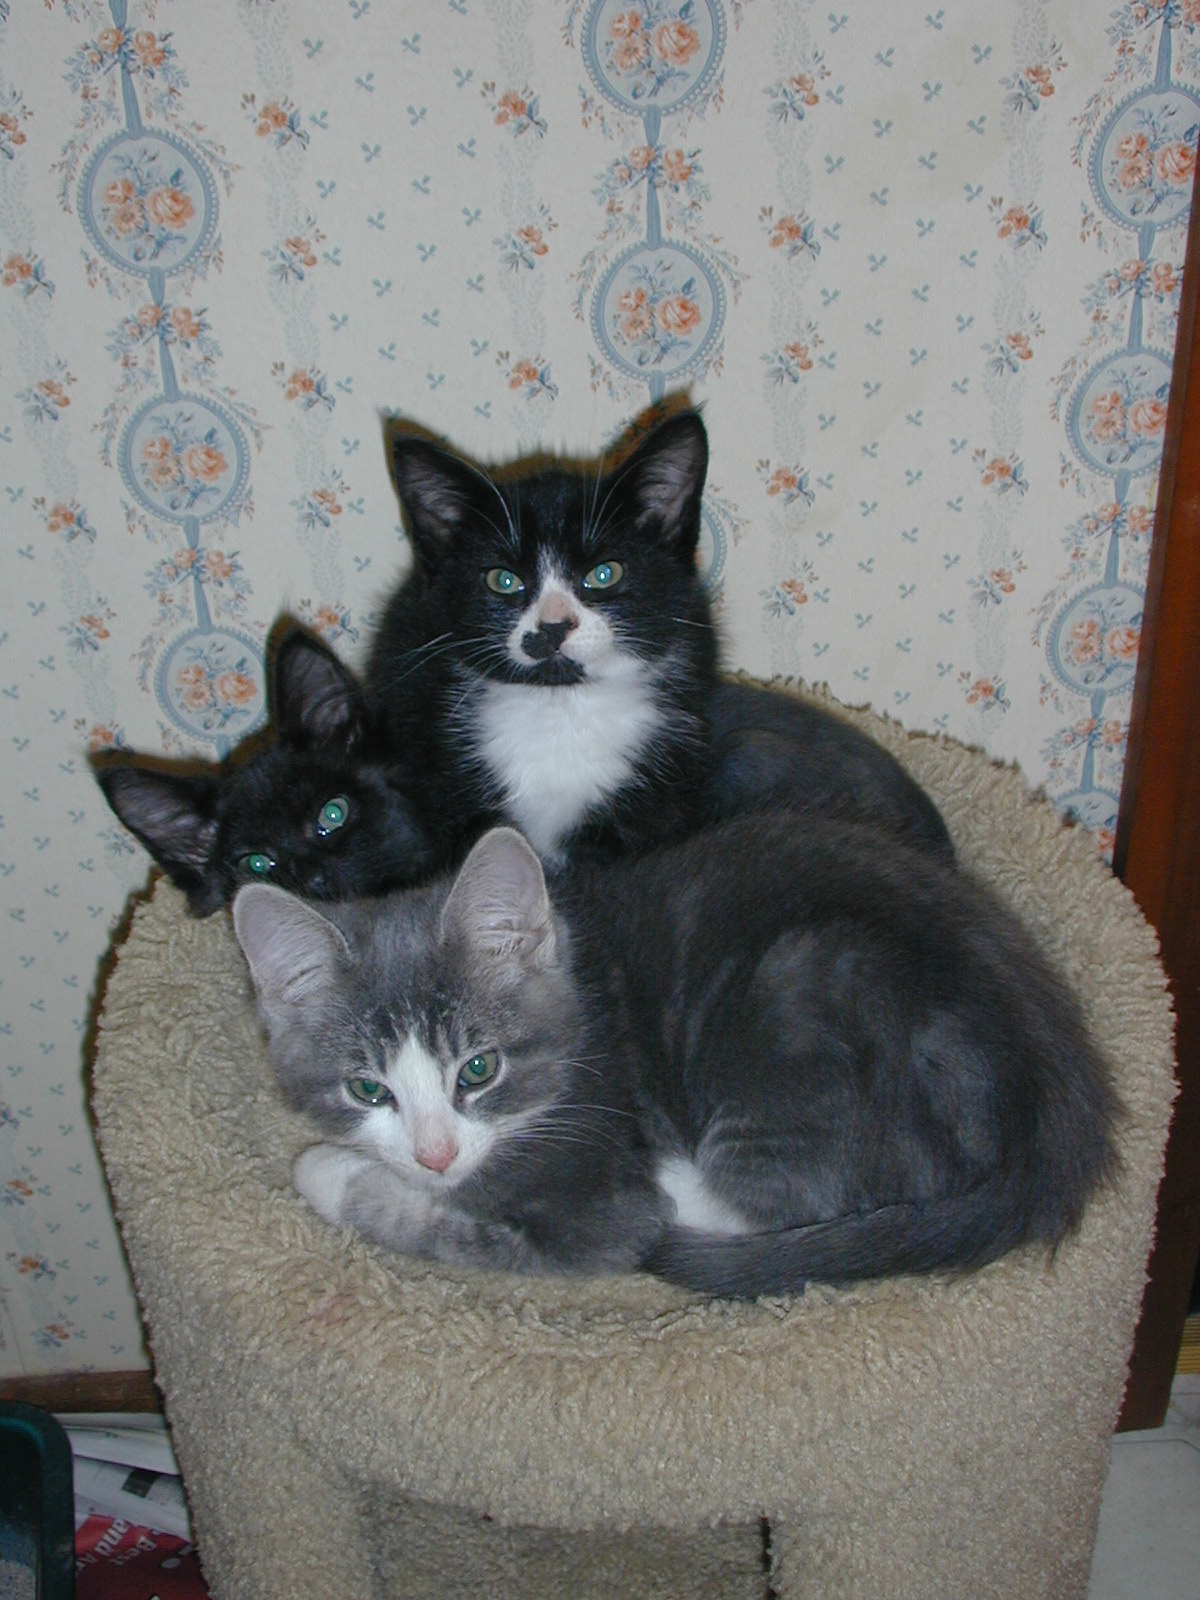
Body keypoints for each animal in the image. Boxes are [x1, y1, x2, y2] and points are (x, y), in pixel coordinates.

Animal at [233, 816, 1115, 1294]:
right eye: (367, 1089)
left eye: (478, 1071)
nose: (435, 1153)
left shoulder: (592, 1210)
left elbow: (437, 1223)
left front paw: (331, 1173)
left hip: (800, 1006)